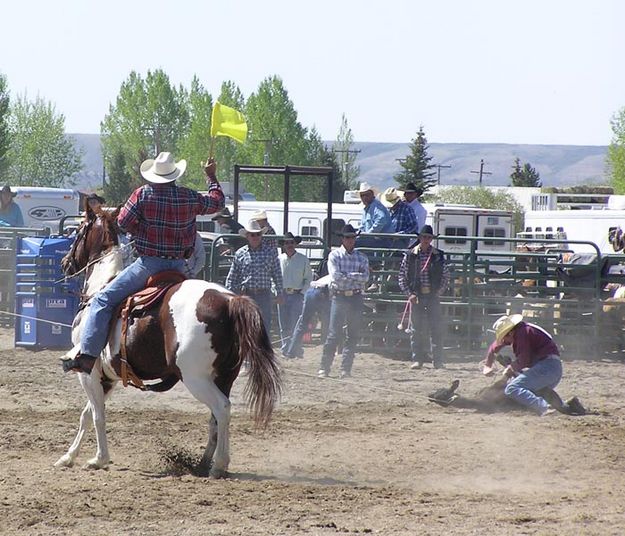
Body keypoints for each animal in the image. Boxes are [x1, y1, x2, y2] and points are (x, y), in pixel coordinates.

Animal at [56, 209, 280, 478]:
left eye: (79, 231)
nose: (65, 262)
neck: (102, 286)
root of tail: (229, 301)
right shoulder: (107, 377)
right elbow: (87, 414)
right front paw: (68, 456)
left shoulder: (88, 372)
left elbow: (98, 415)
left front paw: (99, 459)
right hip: (225, 376)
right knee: (215, 417)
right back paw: (203, 462)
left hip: (196, 378)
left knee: (222, 408)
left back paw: (219, 464)